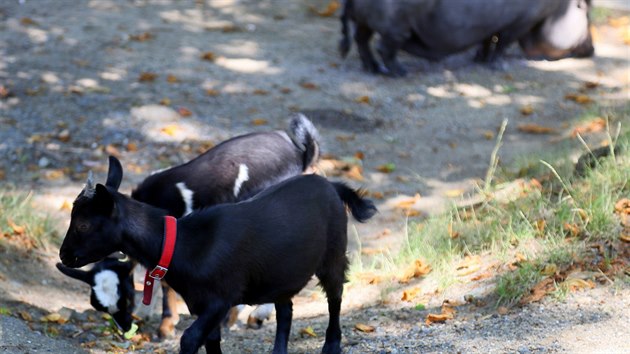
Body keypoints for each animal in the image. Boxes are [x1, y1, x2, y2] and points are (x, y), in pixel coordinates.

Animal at [55, 114, 320, 338]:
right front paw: (148, 313)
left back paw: (253, 315)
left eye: (83, 225)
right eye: (101, 306)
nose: (64, 255)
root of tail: (299, 152)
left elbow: (166, 283)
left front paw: (165, 327)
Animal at [59, 156, 378, 352]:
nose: (64, 256)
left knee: (335, 296)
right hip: (280, 273)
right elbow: (210, 343)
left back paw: (331, 345)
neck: (184, 244)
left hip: (333, 254)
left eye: (83, 224)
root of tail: (331, 185)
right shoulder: (203, 305)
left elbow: (189, 340)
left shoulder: (220, 300)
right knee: (286, 310)